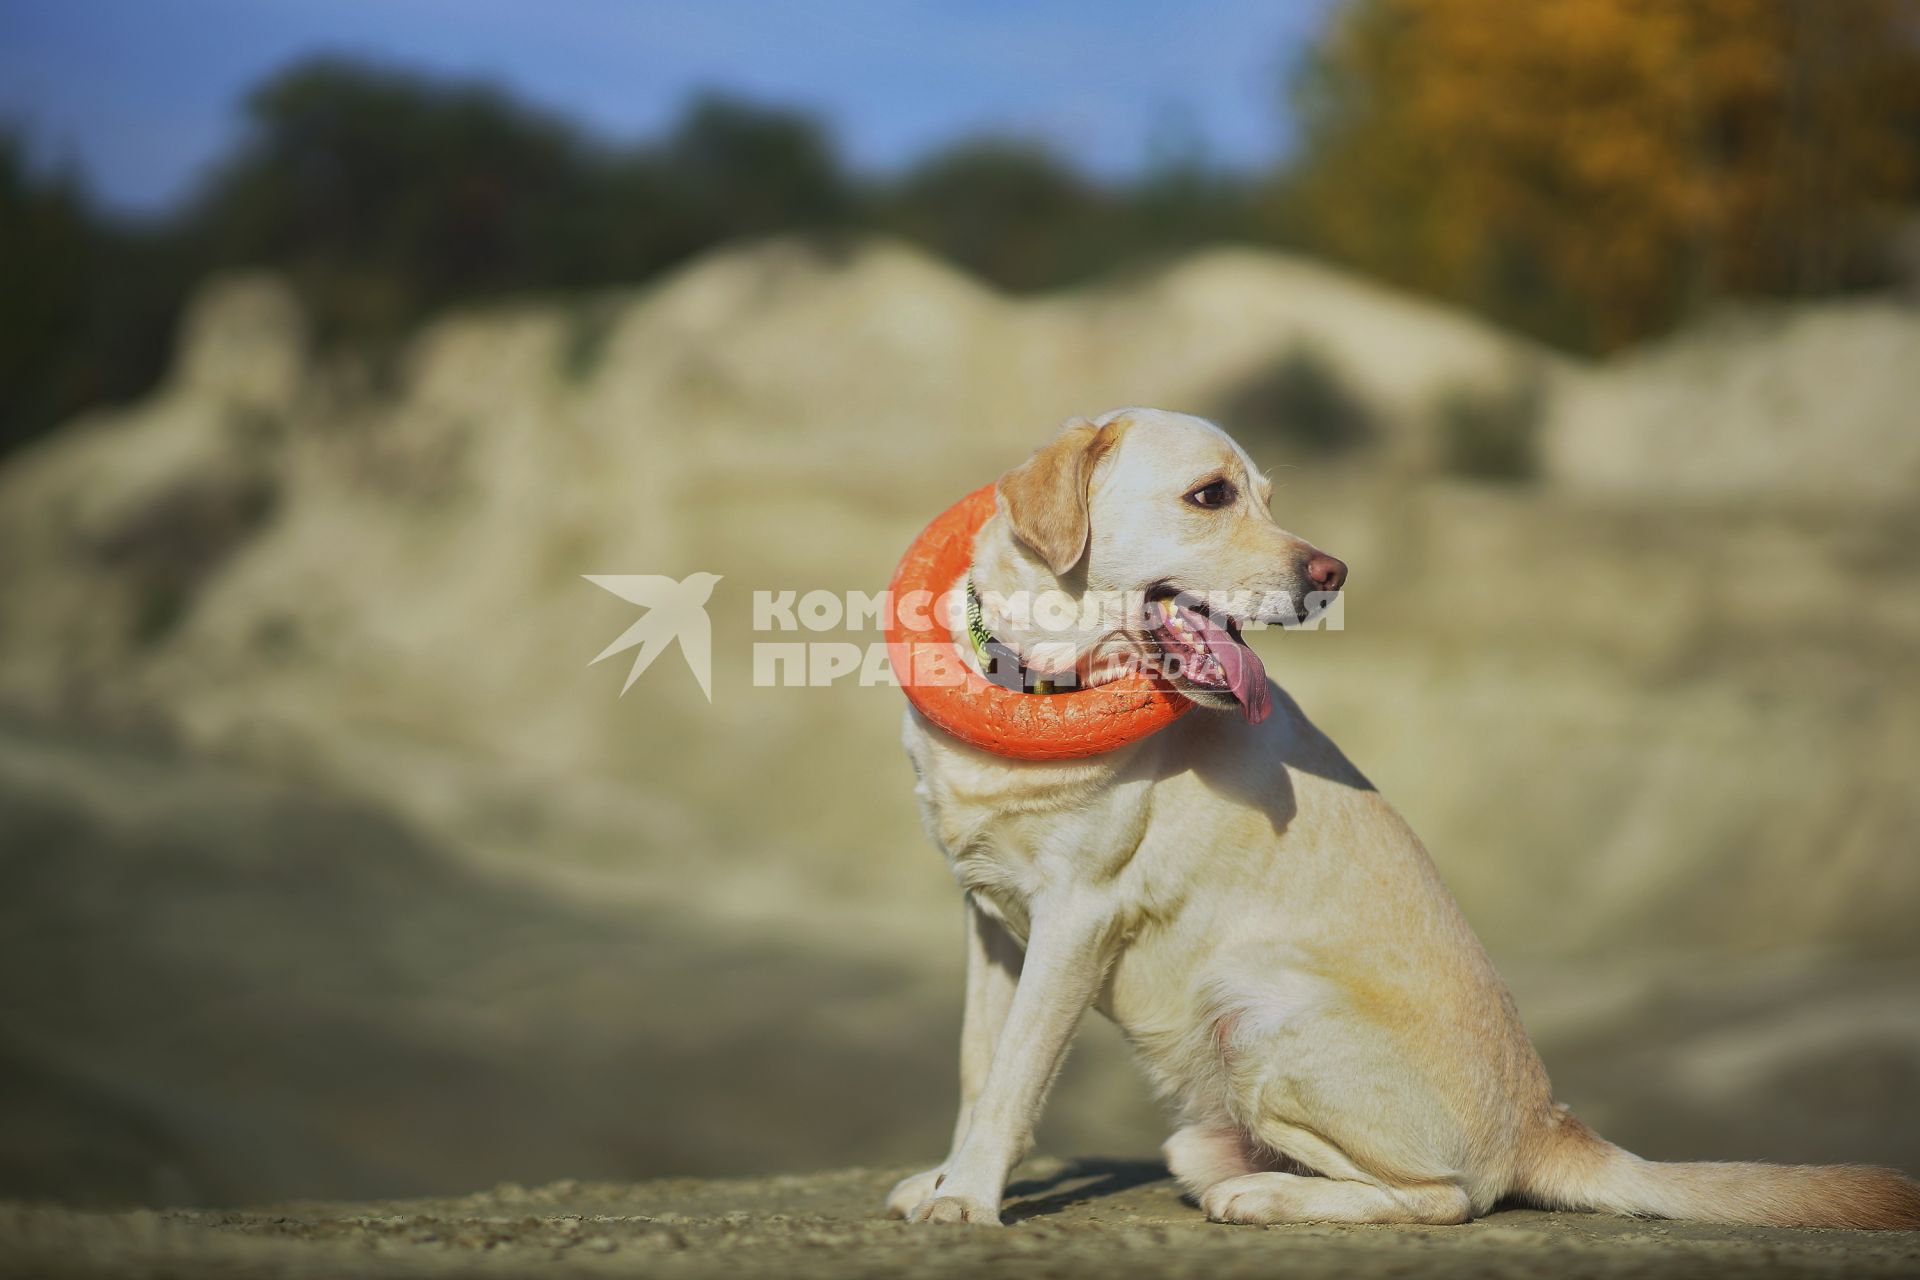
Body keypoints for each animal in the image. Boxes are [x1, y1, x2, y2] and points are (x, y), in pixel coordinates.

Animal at [883, 410, 1920, 1228]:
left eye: (1265, 496)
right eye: (1212, 495)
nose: (1335, 571)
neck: (1039, 677)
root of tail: (1546, 1124)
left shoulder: (1080, 916)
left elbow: (1016, 1076)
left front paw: (966, 1198)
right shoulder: (992, 918)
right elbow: (980, 1066)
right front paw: (950, 1176)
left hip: (1258, 1018)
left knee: (1450, 1198)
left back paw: (1268, 1197)